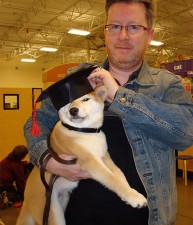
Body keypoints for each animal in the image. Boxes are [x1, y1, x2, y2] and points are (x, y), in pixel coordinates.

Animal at [16, 85, 147, 225]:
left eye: (85, 99)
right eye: (68, 104)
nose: (73, 110)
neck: (85, 131)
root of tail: (26, 200)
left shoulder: (105, 157)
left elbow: (119, 175)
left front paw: (129, 193)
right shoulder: (90, 161)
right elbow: (112, 179)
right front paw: (134, 197)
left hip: (63, 201)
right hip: (52, 212)